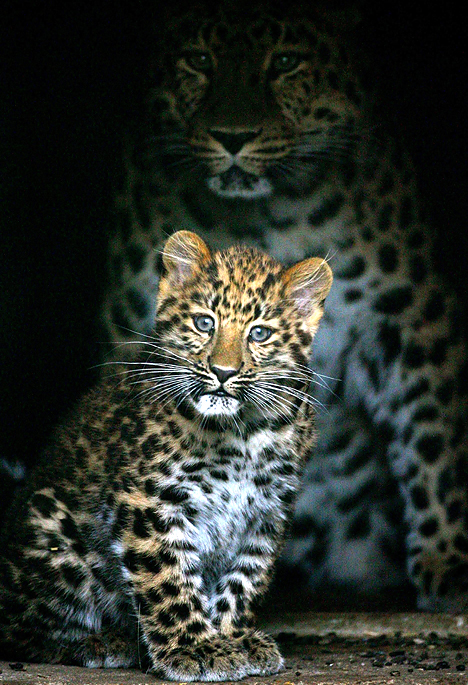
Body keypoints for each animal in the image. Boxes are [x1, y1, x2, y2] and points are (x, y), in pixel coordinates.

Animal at [101, 0, 468, 608]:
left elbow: (436, 431)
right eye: (199, 60)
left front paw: (449, 565)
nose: (233, 136)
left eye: (286, 62)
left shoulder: (410, 318)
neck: (259, 215)